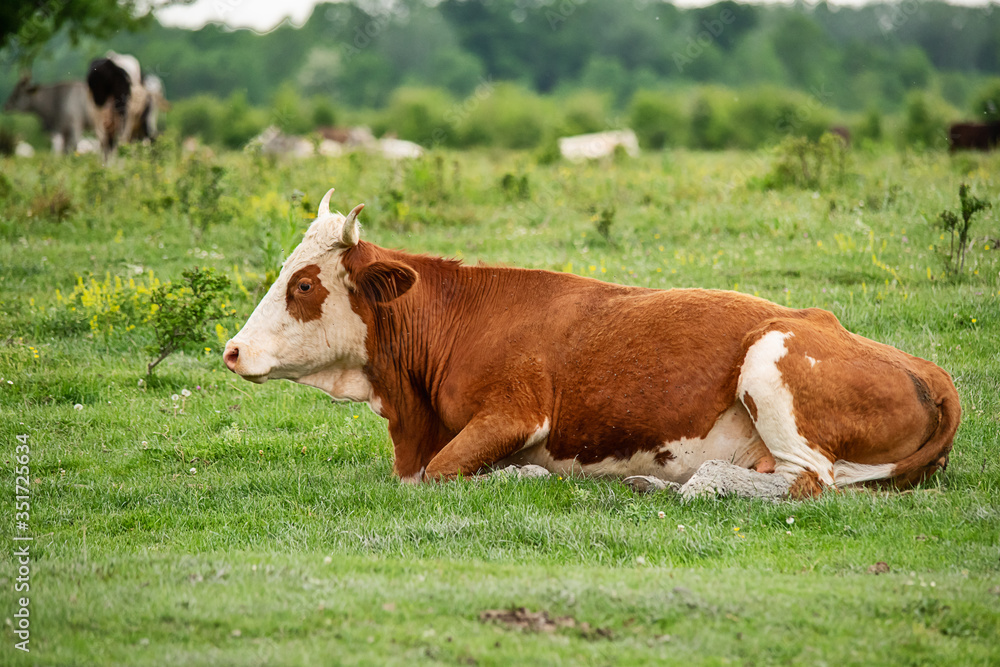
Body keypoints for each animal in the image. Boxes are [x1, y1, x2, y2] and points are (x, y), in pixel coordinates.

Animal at [221, 190, 960, 498]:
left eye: (305, 284)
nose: (231, 349)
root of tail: (931, 372)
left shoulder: (517, 412)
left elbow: (442, 472)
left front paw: (524, 473)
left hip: (769, 361)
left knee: (804, 481)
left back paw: (688, 484)